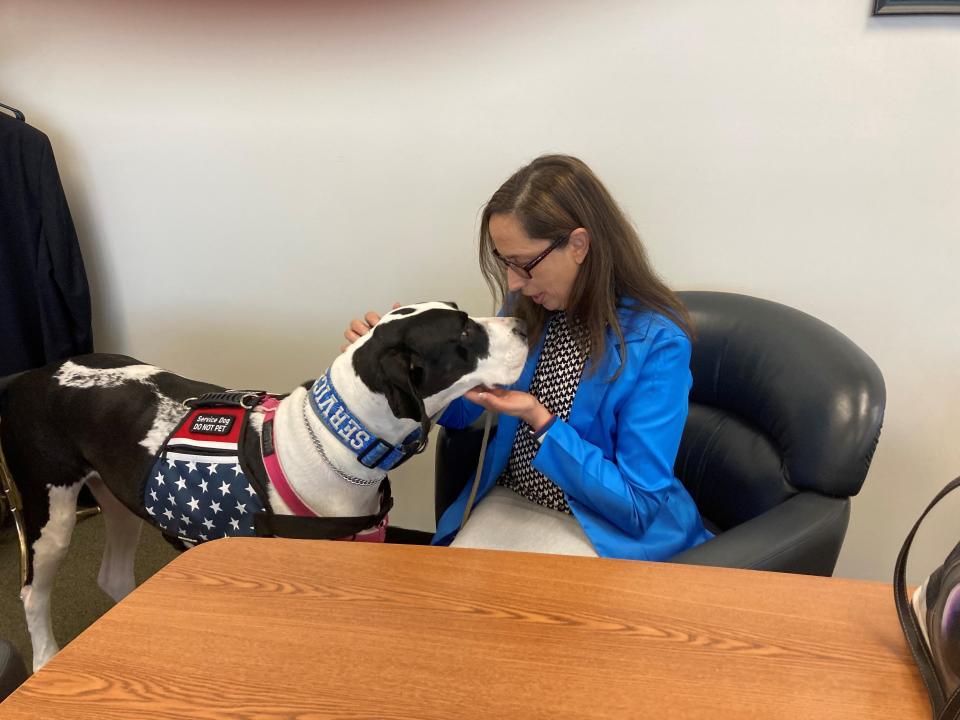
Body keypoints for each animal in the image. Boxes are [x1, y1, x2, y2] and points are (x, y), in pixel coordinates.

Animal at [0, 300, 524, 672]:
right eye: (463, 331)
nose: (521, 324)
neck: (336, 439)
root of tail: (30, 374)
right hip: (51, 513)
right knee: (33, 595)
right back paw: (47, 657)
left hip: (121, 495)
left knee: (112, 575)